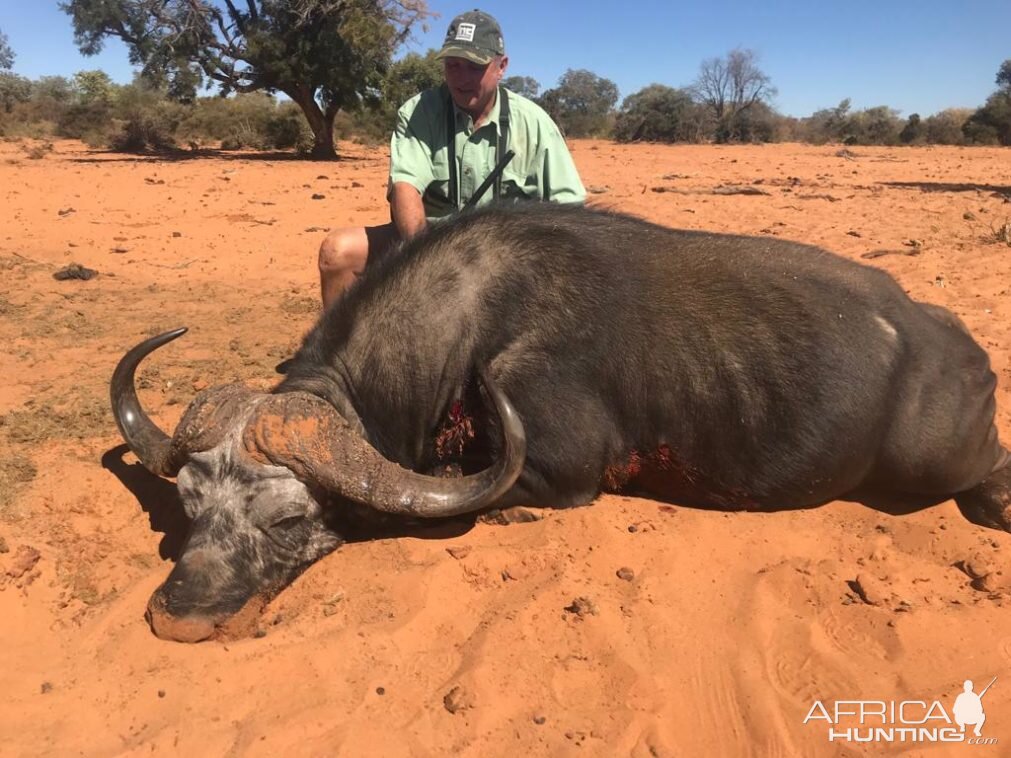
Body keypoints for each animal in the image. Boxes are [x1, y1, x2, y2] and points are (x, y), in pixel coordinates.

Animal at [110, 200, 1011, 642]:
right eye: (188, 505)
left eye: (287, 520)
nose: (177, 616)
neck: (464, 330)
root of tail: (956, 345)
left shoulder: (555, 476)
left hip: (938, 463)